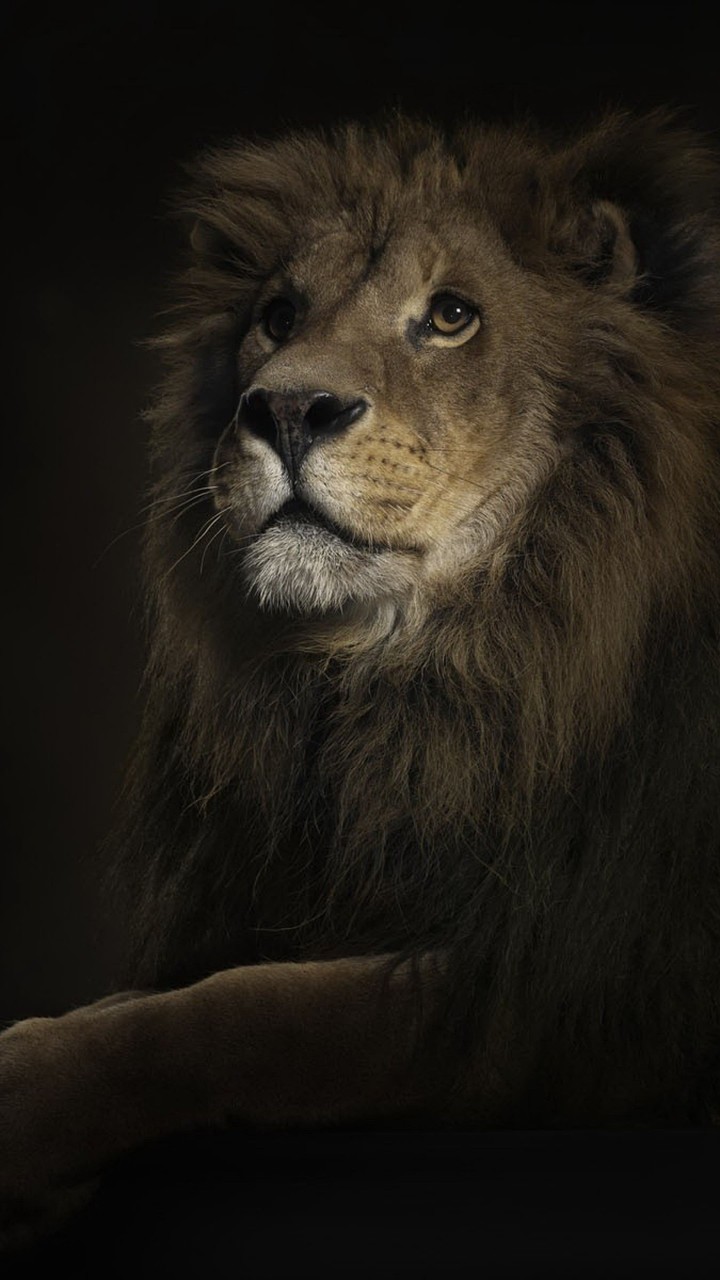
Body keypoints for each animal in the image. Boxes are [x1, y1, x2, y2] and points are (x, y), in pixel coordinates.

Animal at [2, 109, 720, 1237]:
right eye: (278, 316)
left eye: (453, 316)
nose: (288, 409)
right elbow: (157, 994)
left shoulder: (549, 994)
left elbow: (236, 1012)